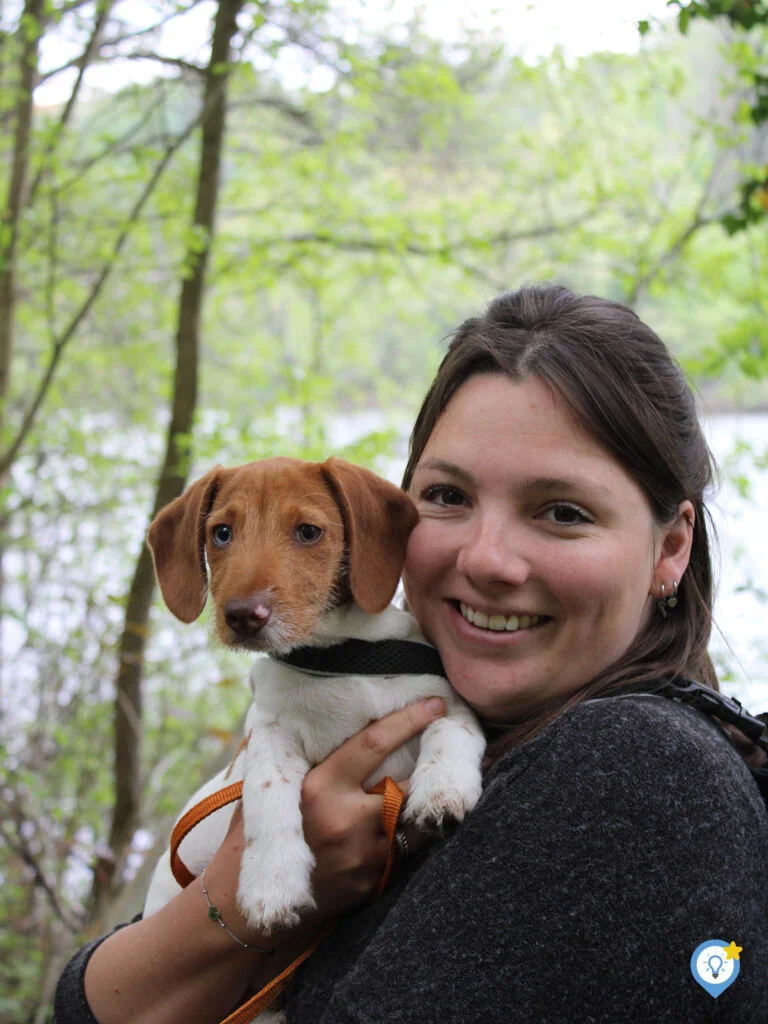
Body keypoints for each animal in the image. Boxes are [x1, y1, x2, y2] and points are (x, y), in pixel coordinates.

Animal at [141, 456, 483, 937]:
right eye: (222, 533)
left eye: (308, 532)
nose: (242, 616)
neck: (341, 655)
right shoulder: (268, 734)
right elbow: (268, 796)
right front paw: (271, 880)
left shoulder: (448, 705)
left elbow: (448, 734)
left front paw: (441, 789)